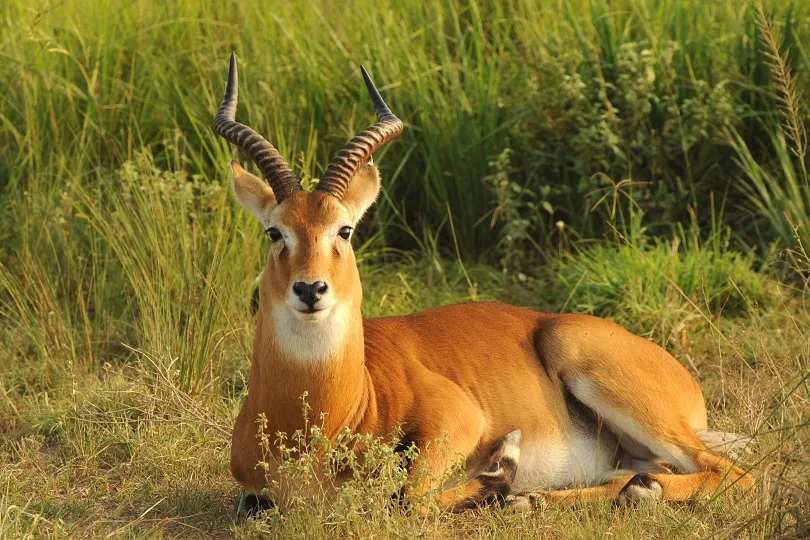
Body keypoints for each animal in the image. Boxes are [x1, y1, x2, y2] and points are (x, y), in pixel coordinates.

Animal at [210, 54, 752, 516]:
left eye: (344, 230)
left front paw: (501, 470)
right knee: (635, 474)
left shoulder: (459, 418)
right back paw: (553, 496)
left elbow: (410, 497)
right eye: (274, 231)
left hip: (606, 380)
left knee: (733, 473)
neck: (324, 418)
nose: (310, 290)